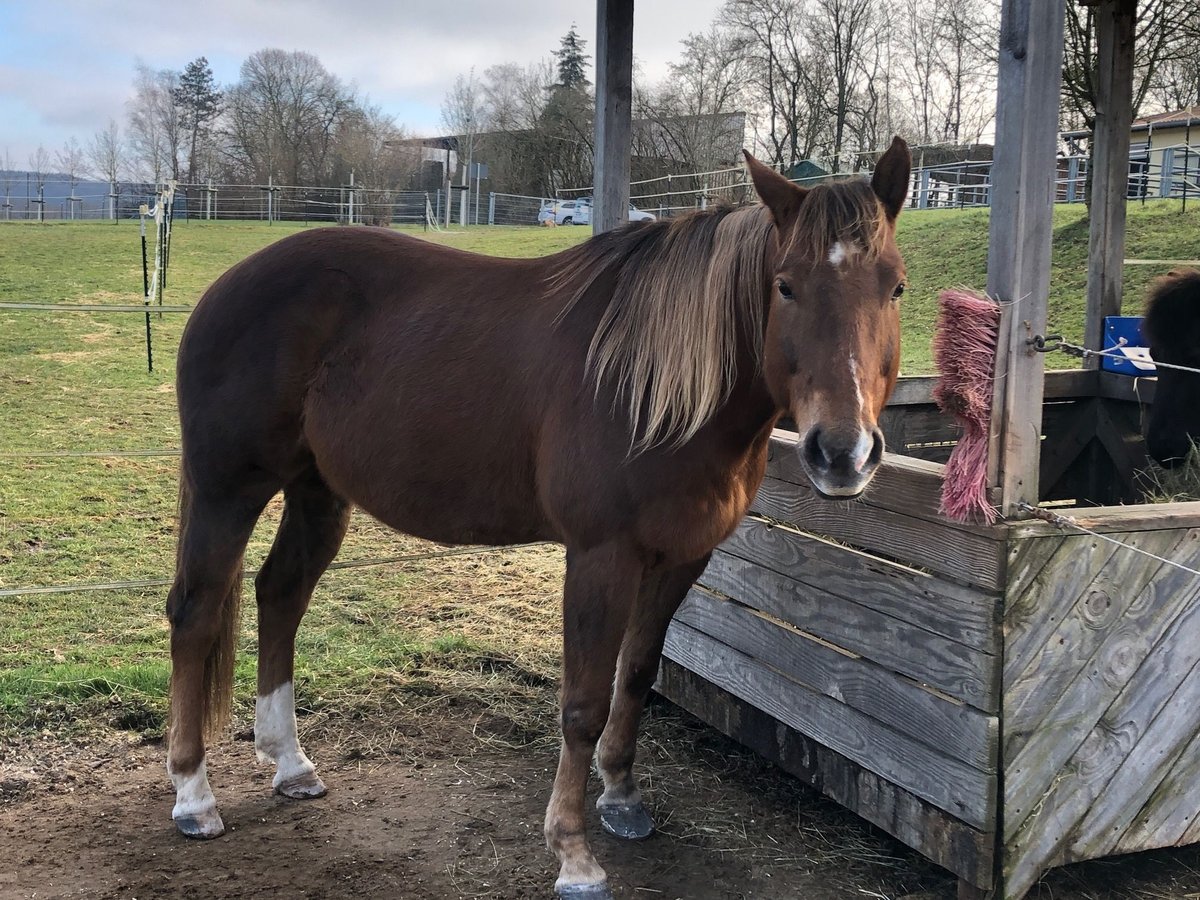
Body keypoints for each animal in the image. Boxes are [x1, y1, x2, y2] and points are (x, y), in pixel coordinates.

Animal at [162, 135, 907, 900]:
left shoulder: (682, 556)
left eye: (895, 286)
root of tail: (226, 287)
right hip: (228, 491)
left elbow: (636, 676)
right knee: (195, 613)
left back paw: (289, 763)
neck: (656, 381)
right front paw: (573, 852)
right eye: (785, 285)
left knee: (280, 594)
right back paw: (193, 795)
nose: (842, 453)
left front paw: (622, 797)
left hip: (317, 492)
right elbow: (583, 703)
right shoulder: (602, 556)